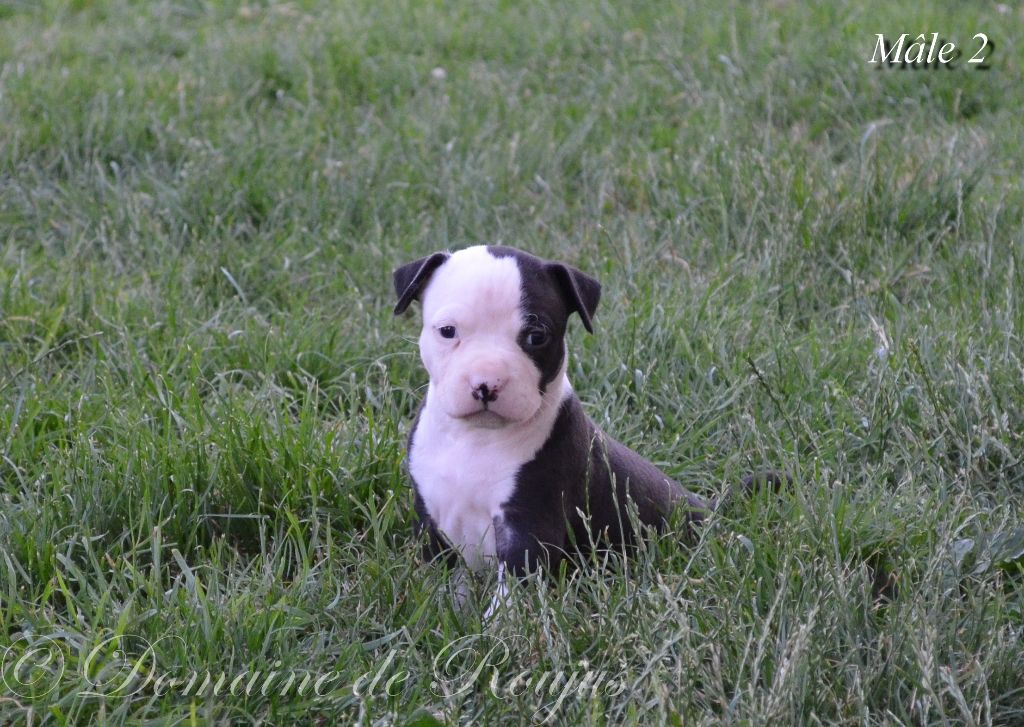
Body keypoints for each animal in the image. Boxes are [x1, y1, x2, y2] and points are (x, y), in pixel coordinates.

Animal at [393, 245, 779, 614]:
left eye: (536, 337)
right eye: (448, 331)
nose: (486, 384)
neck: (475, 439)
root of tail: (708, 507)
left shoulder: (529, 527)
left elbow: (512, 595)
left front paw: (497, 630)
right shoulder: (431, 519)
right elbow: (446, 583)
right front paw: (440, 615)